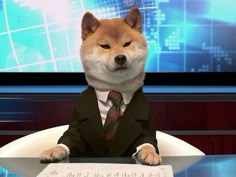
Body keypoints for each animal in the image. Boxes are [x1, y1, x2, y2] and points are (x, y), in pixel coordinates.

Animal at [39, 5, 161, 166]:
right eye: (105, 46)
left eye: (127, 44)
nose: (120, 57)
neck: (115, 90)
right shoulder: (77, 126)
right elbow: (68, 139)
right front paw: (55, 150)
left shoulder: (145, 128)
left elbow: (147, 142)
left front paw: (149, 152)